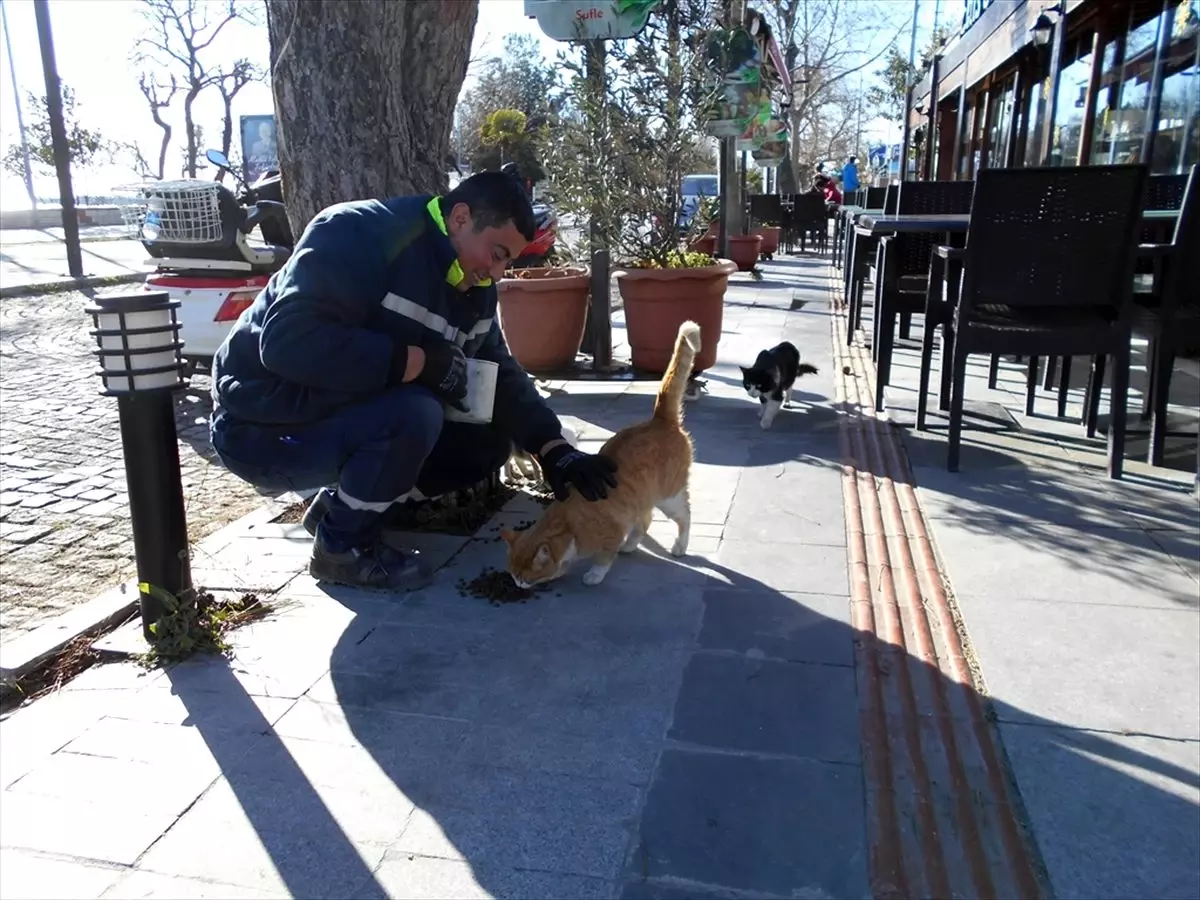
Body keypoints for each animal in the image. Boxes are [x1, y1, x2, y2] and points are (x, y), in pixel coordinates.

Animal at [499, 321, 700, 588]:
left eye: (523, 577)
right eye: (512, 573)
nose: (517, 585)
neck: (569, 526)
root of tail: (660, 420)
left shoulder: (612, 533)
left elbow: (604, 557)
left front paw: (594, 574)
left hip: (669, 497)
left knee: (685, 515)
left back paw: (679, 546)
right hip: (641, 499)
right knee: (645, 520)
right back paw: (631, 545)